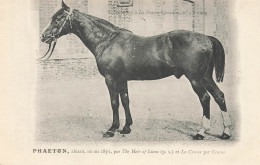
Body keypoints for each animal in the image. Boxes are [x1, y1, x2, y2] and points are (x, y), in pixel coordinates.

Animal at [40, 0, 232, 141]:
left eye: (58, 19)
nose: (43, 36)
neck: (106, 40)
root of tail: (206, 38)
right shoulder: (122, 79)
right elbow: (125, 100)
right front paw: (126, 128)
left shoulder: (110, 79)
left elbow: (114, 102)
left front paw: (112, 129)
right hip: (205, 76)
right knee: (219, 96)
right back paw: (226, 133)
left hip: (195, 78)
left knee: (205, 98)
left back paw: (201, 132)